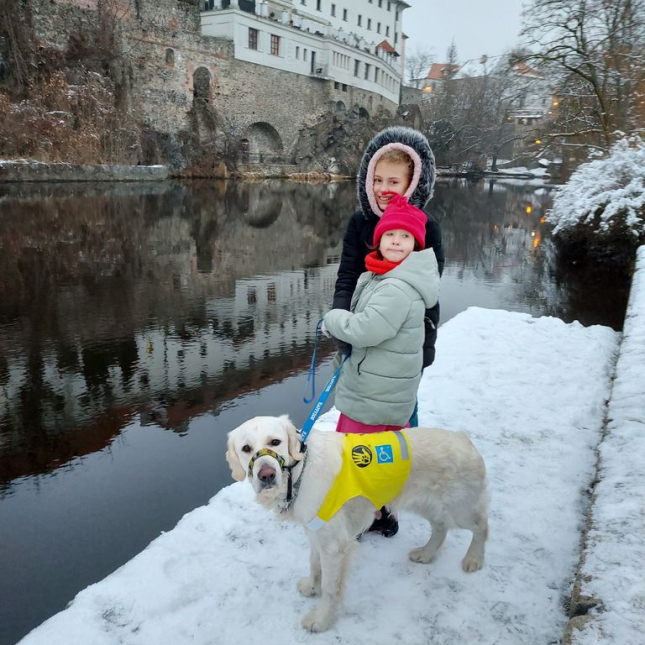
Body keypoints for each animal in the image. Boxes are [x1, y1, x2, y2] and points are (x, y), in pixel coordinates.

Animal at [226, 416, 488, 632]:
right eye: (246, 449)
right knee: (441, 527)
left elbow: (330, 589)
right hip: (426, 503)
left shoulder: (334, 545)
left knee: (482, 527)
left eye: (275, 441)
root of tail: (465, 440)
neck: (301, 470)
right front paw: (311, 587)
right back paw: (426, 553)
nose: (266, 475)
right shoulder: (317, 532)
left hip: (460, 507)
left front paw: (321, 620)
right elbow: (314, 565)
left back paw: (474, 559)